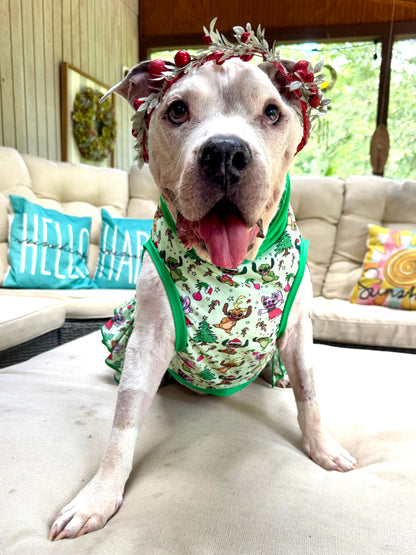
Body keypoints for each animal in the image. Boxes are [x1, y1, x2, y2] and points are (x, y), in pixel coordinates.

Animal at [49, 22, 357, 541]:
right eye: (177, 109)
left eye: (272, 112)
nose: (226, 152)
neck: (232, 269)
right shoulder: (148, 340)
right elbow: (123, 424)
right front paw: (98, 496)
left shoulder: (298, 333)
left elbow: (310, 396)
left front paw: (323, 448)